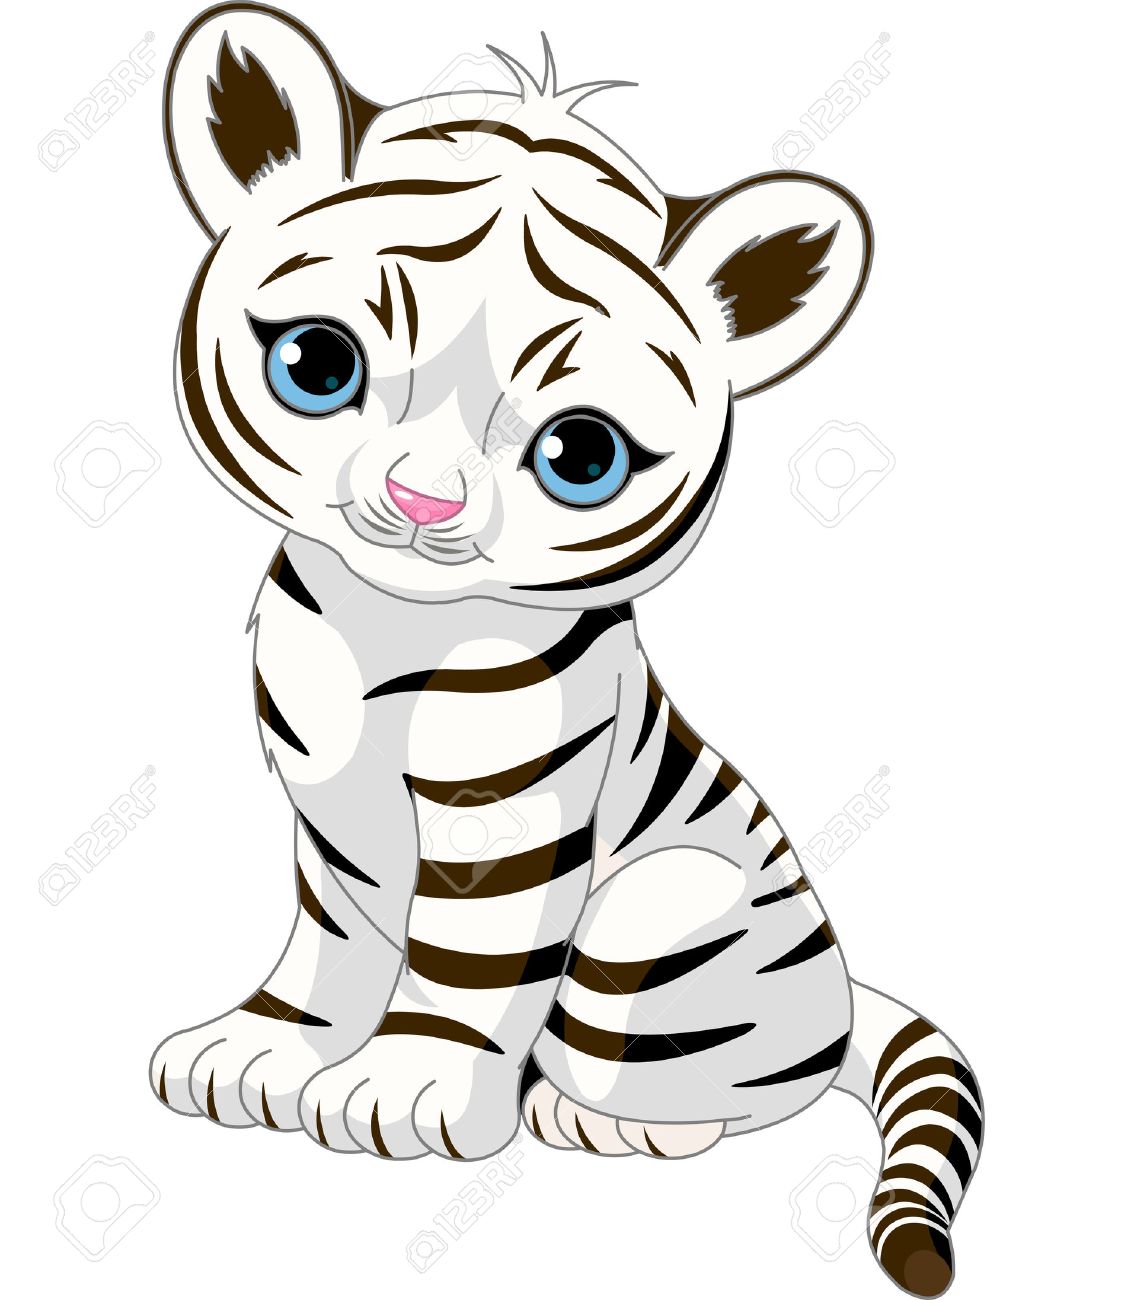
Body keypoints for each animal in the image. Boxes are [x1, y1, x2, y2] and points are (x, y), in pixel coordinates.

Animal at [151, 5, 983, 1295]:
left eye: (580, 454)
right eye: (319, 365)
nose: (423, 501)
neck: (379, 623)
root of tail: (844, 996)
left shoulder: (506, 819)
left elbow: (466, 966)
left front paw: (405, 1088)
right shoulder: (324, 811)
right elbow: (330, 939)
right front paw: (266, 1049)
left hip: (663, 919)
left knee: (734, 1091)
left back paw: (597, 1117)